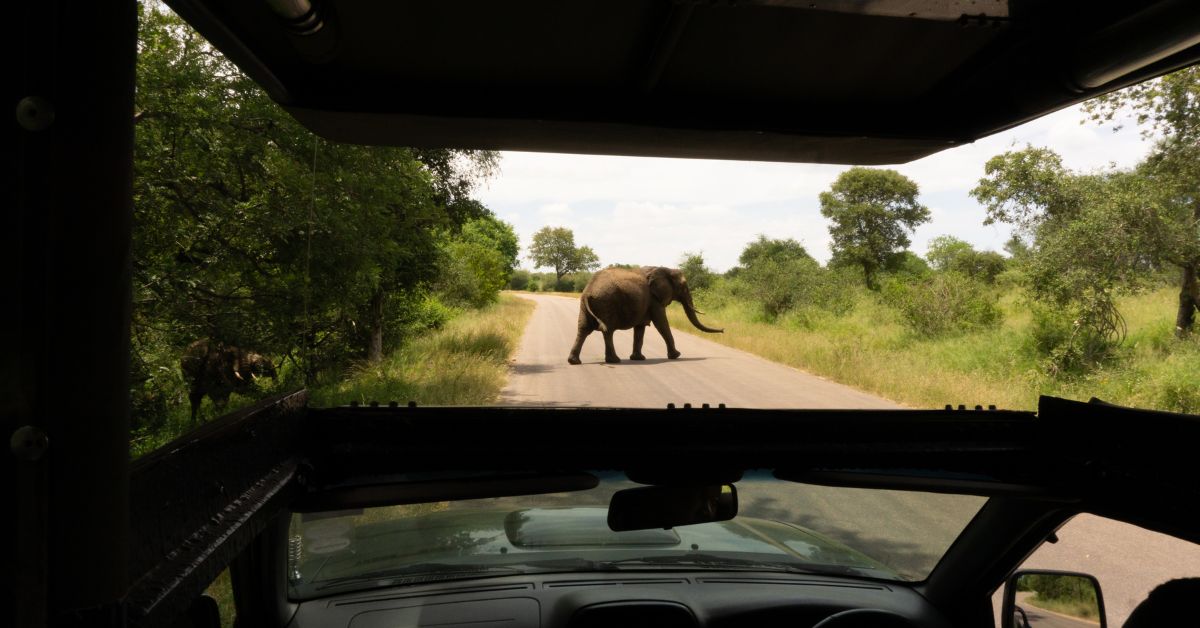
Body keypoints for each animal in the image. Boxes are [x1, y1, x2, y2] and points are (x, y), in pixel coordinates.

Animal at [568, 266, 723, 365]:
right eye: (684, 286)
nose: (723, 330)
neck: (664, 269)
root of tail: (588, 291)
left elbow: (640, 328)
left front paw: (638, 358)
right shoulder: (654, 300)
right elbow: (661, 323)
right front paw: (676, 355)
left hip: (586, 306)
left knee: (583, 329)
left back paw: (574, 362)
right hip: (607, 302)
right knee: (607, 331)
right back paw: (615, 360)